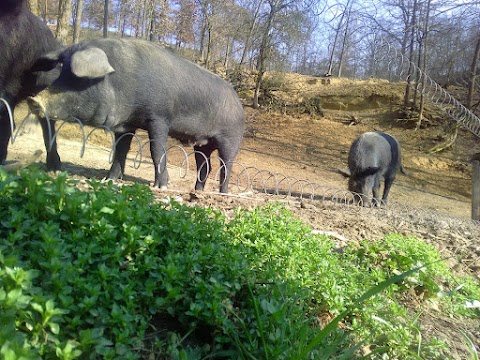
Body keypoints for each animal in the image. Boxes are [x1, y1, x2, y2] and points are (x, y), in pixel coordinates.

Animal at [28, 38, 246, 193]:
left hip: (231, 138)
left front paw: (160, 187)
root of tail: (238, 102)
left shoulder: (159, 117)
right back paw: (197, 192)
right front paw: (109, 180)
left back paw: (223, 194)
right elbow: (120, 150)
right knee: (204, 166)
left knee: (226, 166)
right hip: (203, 144)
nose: (33, 99)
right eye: (61, 71)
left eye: (77, 79)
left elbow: (156, 149)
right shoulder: (127, 124)